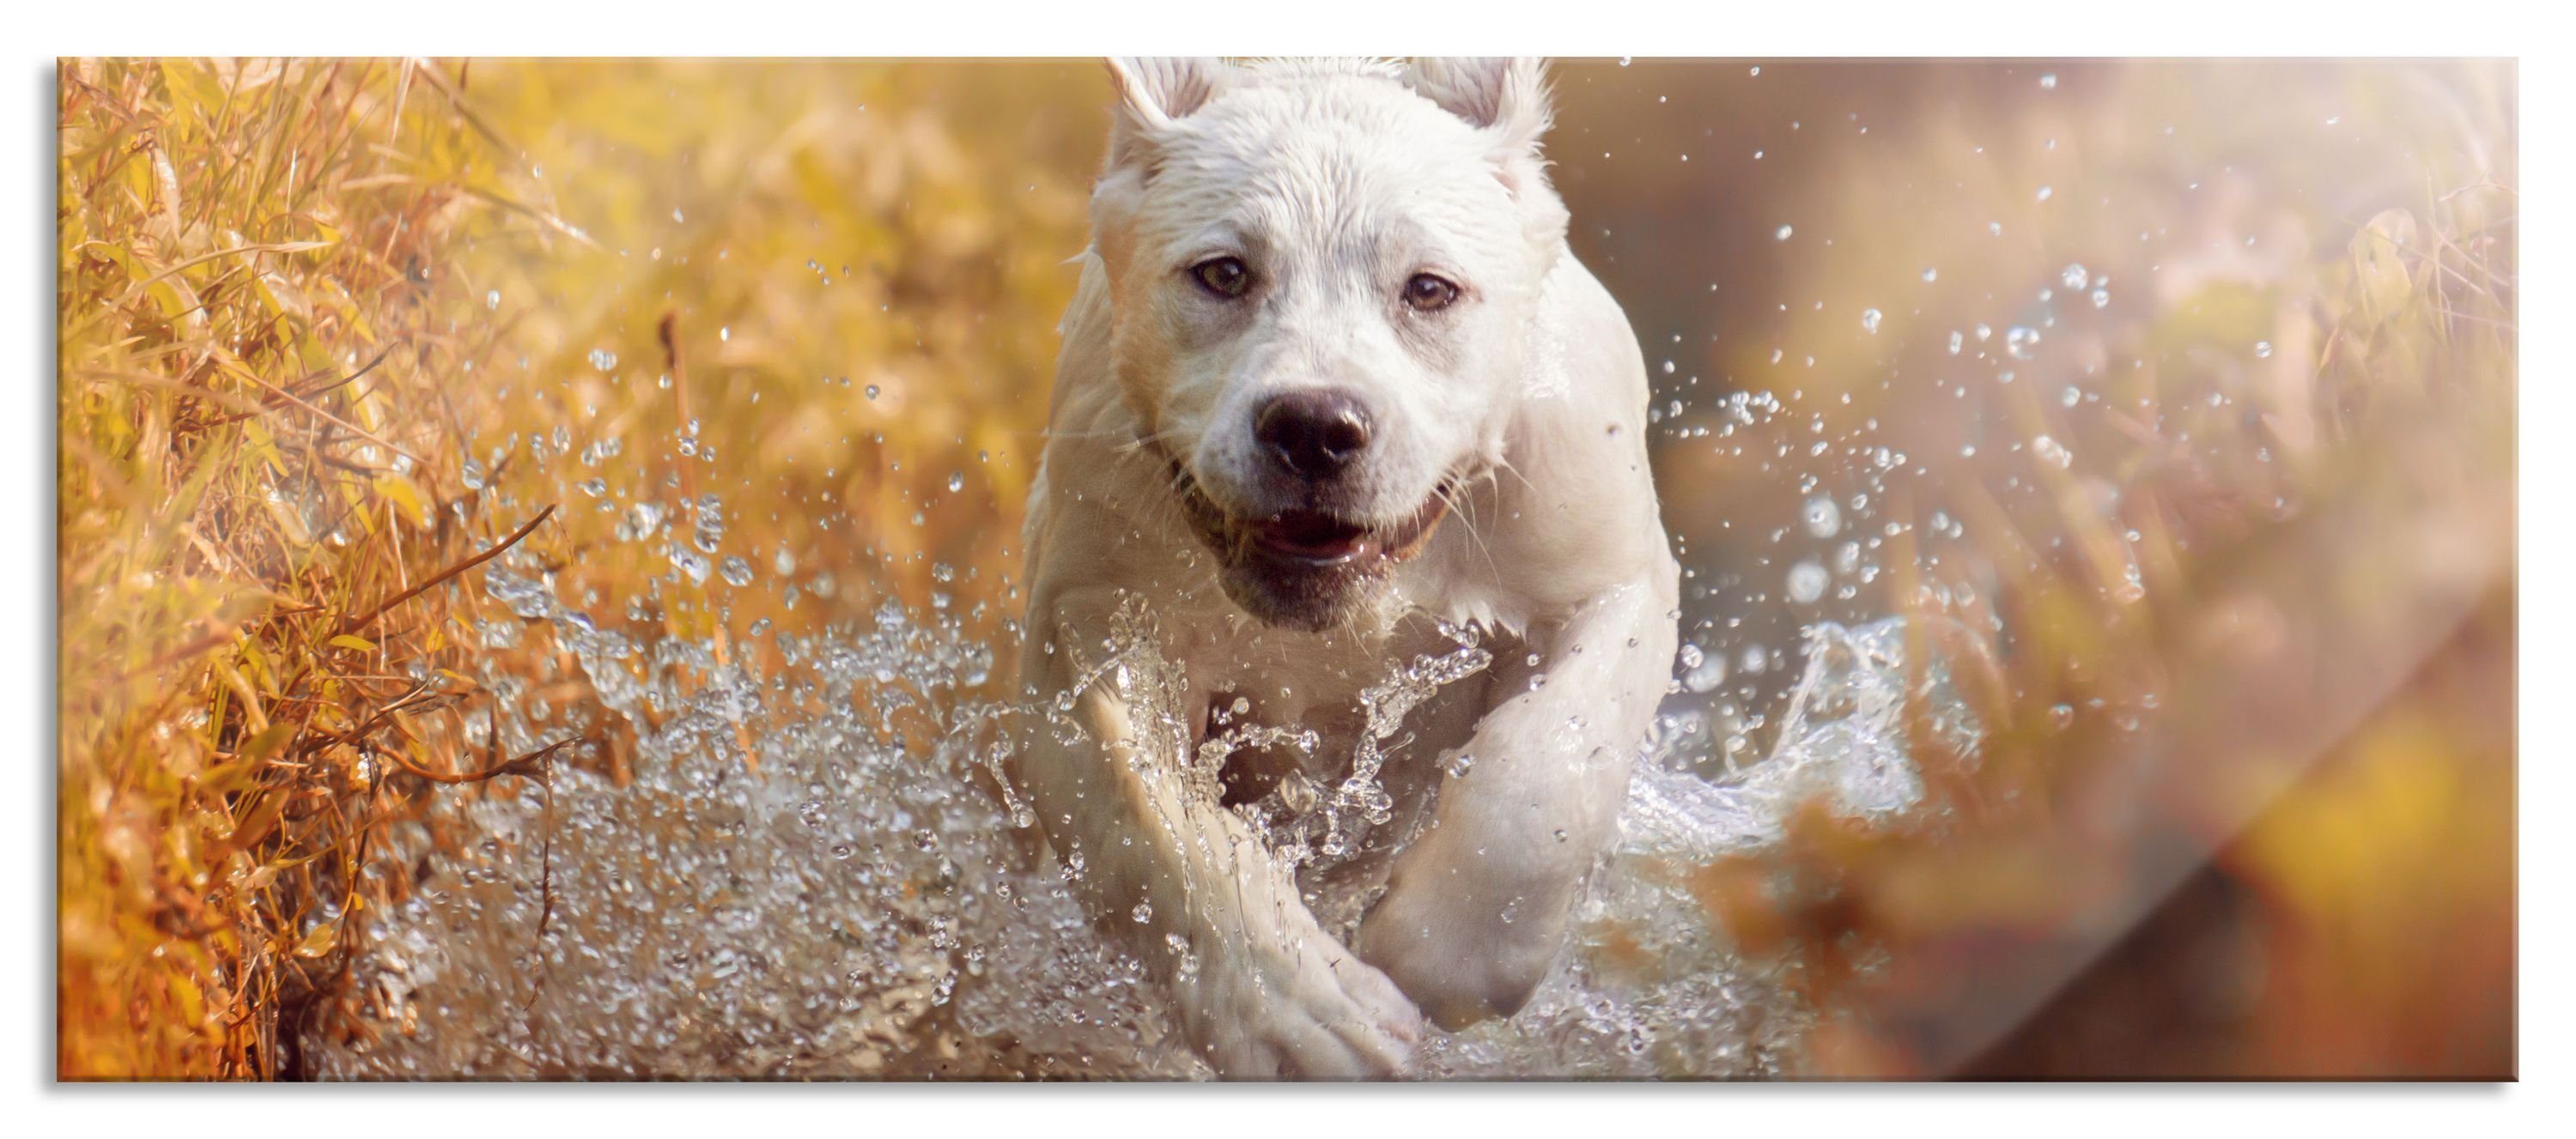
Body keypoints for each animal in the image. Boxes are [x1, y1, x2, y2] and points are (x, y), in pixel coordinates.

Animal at [1005, 59, 1669, 1076]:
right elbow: (1155, 818)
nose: (1314, 426)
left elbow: (1544, 775)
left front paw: (1446, 951)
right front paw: (1305, 1015)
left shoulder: (1608, 572)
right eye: (1223, 273)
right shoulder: (1090, 610)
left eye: (1430, 289)